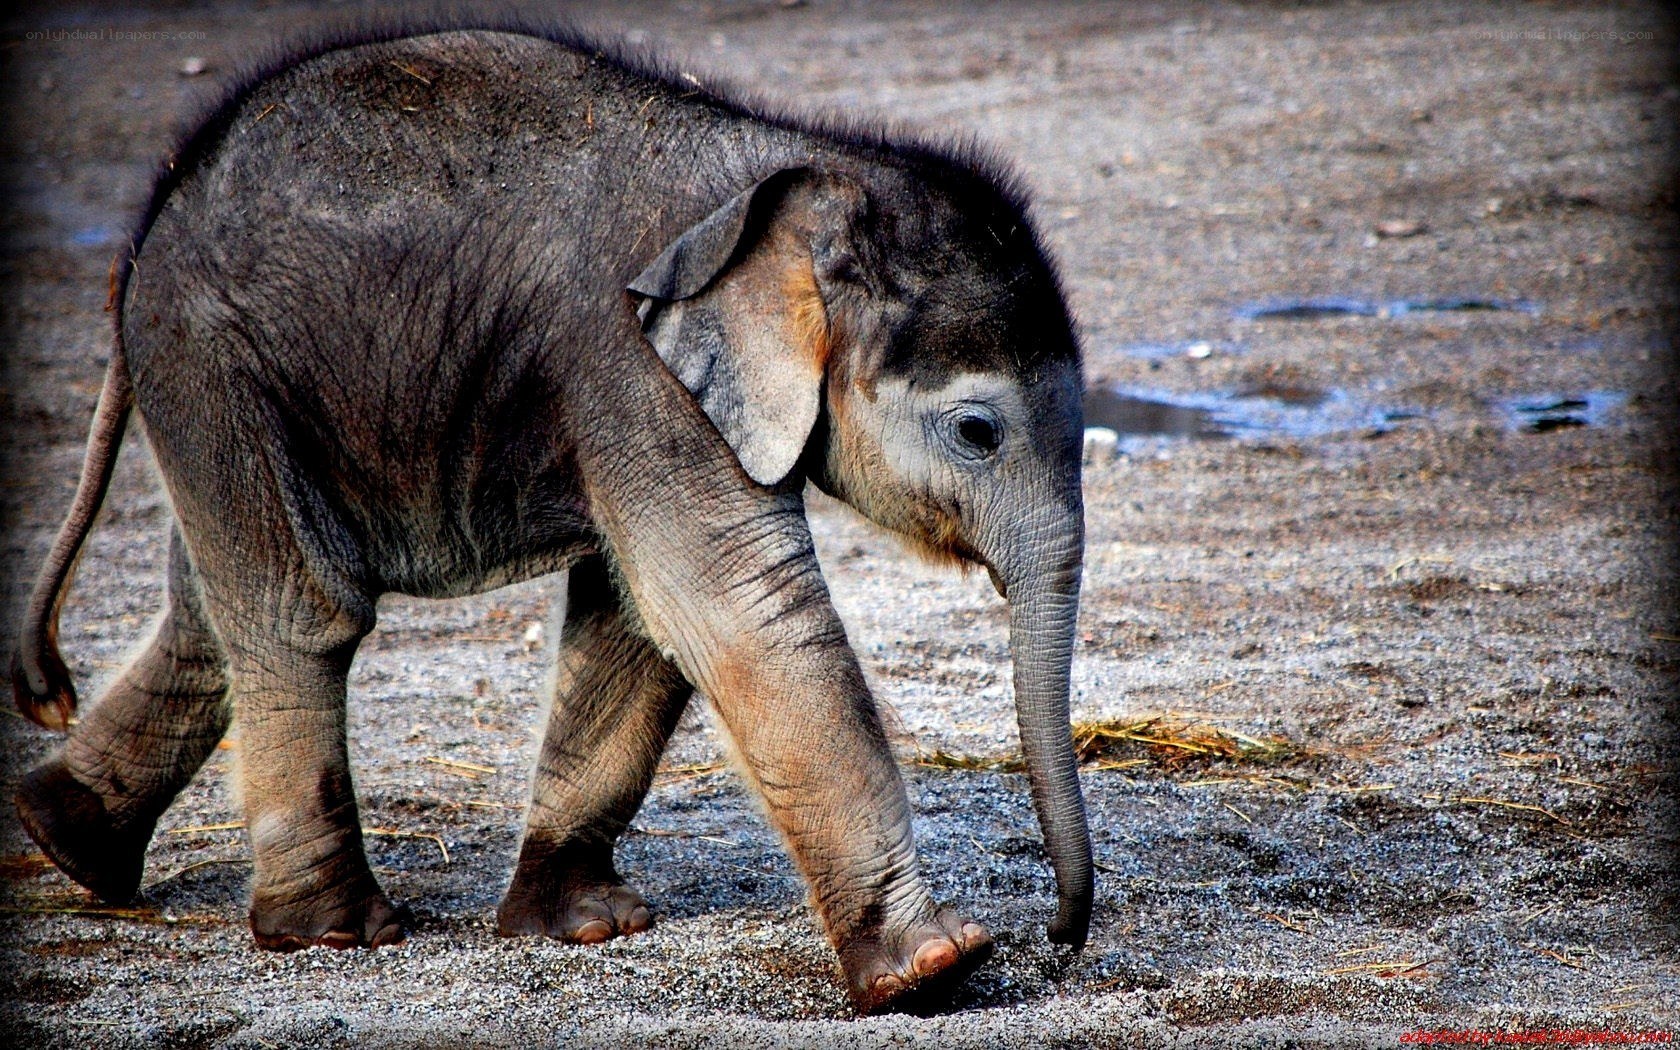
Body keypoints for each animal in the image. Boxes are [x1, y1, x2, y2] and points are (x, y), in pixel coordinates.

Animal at [9, 22, 1090, 1014]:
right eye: (978, 431)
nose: (1059, 937)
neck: (790, 169)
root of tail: (149, 222)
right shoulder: (630, 368)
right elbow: (736, 611)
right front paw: (934, 968)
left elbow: (639, 623)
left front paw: (586, 927)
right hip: (214, 366)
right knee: (300, 612)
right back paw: (330, 933)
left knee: (212, 607)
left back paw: (63, 841)